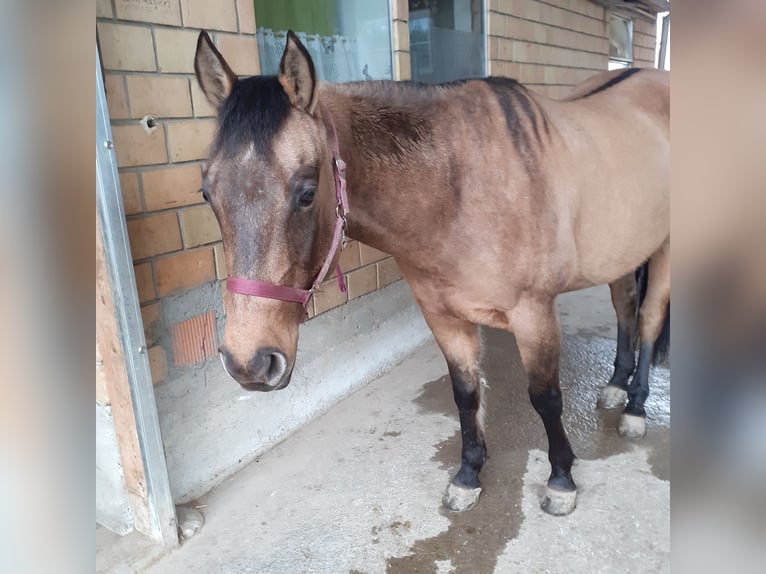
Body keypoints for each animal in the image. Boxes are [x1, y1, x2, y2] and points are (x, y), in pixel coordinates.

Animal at [194, 30, 672, 516]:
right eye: (207, 193)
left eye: (307, 193)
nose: (250, 363)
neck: (459, 191)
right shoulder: (443, 316)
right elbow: (465, 393)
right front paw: (468, 476)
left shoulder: (534, 314)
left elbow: (545, 398)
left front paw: (561, 481)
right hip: (622, 251)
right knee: (625, 308)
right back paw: (615, 387)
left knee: (650, 320)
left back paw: (635, 409)